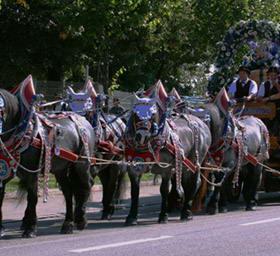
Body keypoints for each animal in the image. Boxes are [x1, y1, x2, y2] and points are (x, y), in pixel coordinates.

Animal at [0, 88, 96, 238]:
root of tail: (84, 120)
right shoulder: (4, 171)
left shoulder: (31, 172)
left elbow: (32, 198)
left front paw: (30, 228)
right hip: (60, 169)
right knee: (68, 191)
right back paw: (68, 223)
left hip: (82, 163)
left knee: (86, 185)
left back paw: (80, 219)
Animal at [123, 96, 211, 224]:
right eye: (135, 113)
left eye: (153, 114)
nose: (141, 136)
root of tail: (201, 123)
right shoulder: (134, 168)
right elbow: (134, 192)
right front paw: (131, 217)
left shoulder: (166, 169)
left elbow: (164, 190)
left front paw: (163, 216)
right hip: (184, 165)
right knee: (186, 184)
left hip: (194, 160)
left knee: (195, 182)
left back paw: (186, 212)